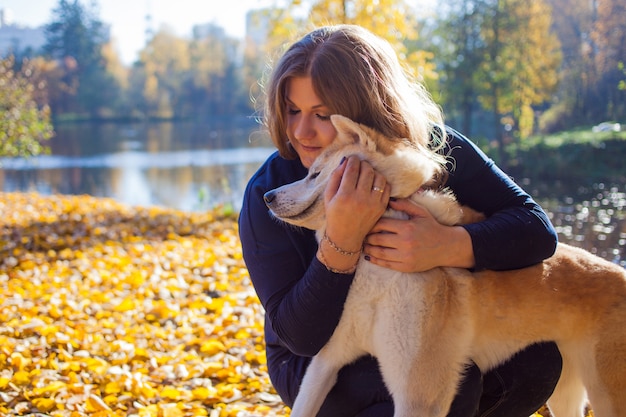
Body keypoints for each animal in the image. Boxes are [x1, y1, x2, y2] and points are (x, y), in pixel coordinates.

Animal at [262, 114, 624, 416]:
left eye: (315, 173)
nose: (267, 196)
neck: (375, 274)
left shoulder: (419, 395)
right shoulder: (326, 363)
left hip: (605, 395)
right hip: (565, 393)